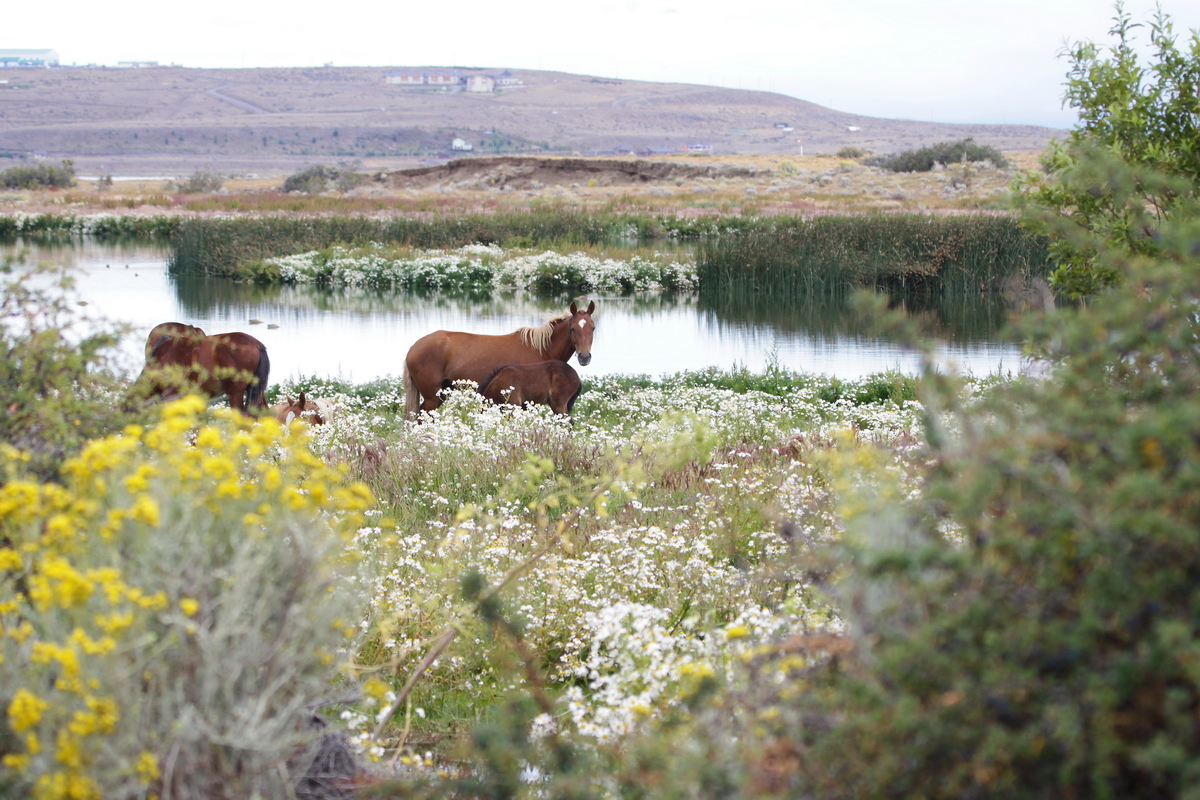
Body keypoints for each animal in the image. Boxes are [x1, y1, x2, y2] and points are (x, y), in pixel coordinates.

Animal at [403, 299, 595, 419]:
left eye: (592, 328)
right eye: (573, 328)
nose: (584, 357)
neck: (541, 349)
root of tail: (413, 348)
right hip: (432, 397)